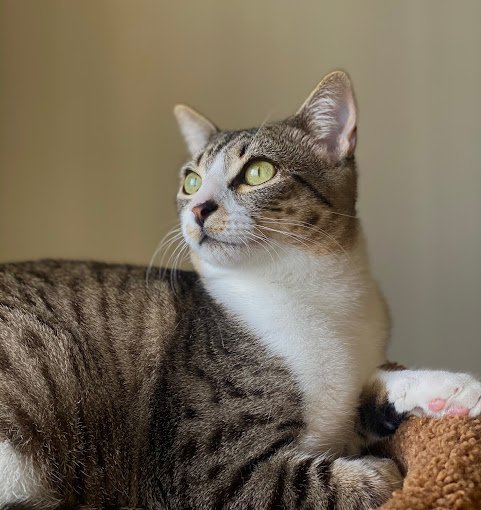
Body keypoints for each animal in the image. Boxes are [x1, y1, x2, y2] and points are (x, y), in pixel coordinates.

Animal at [0, 70, 480, 509]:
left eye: (258, 171)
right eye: (191, 181)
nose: (198, 207)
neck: (313, 293)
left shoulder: (343, 398)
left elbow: (368, 389)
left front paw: (449, 392)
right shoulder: (203, 469)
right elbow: (314, 484)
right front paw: (382, 474)